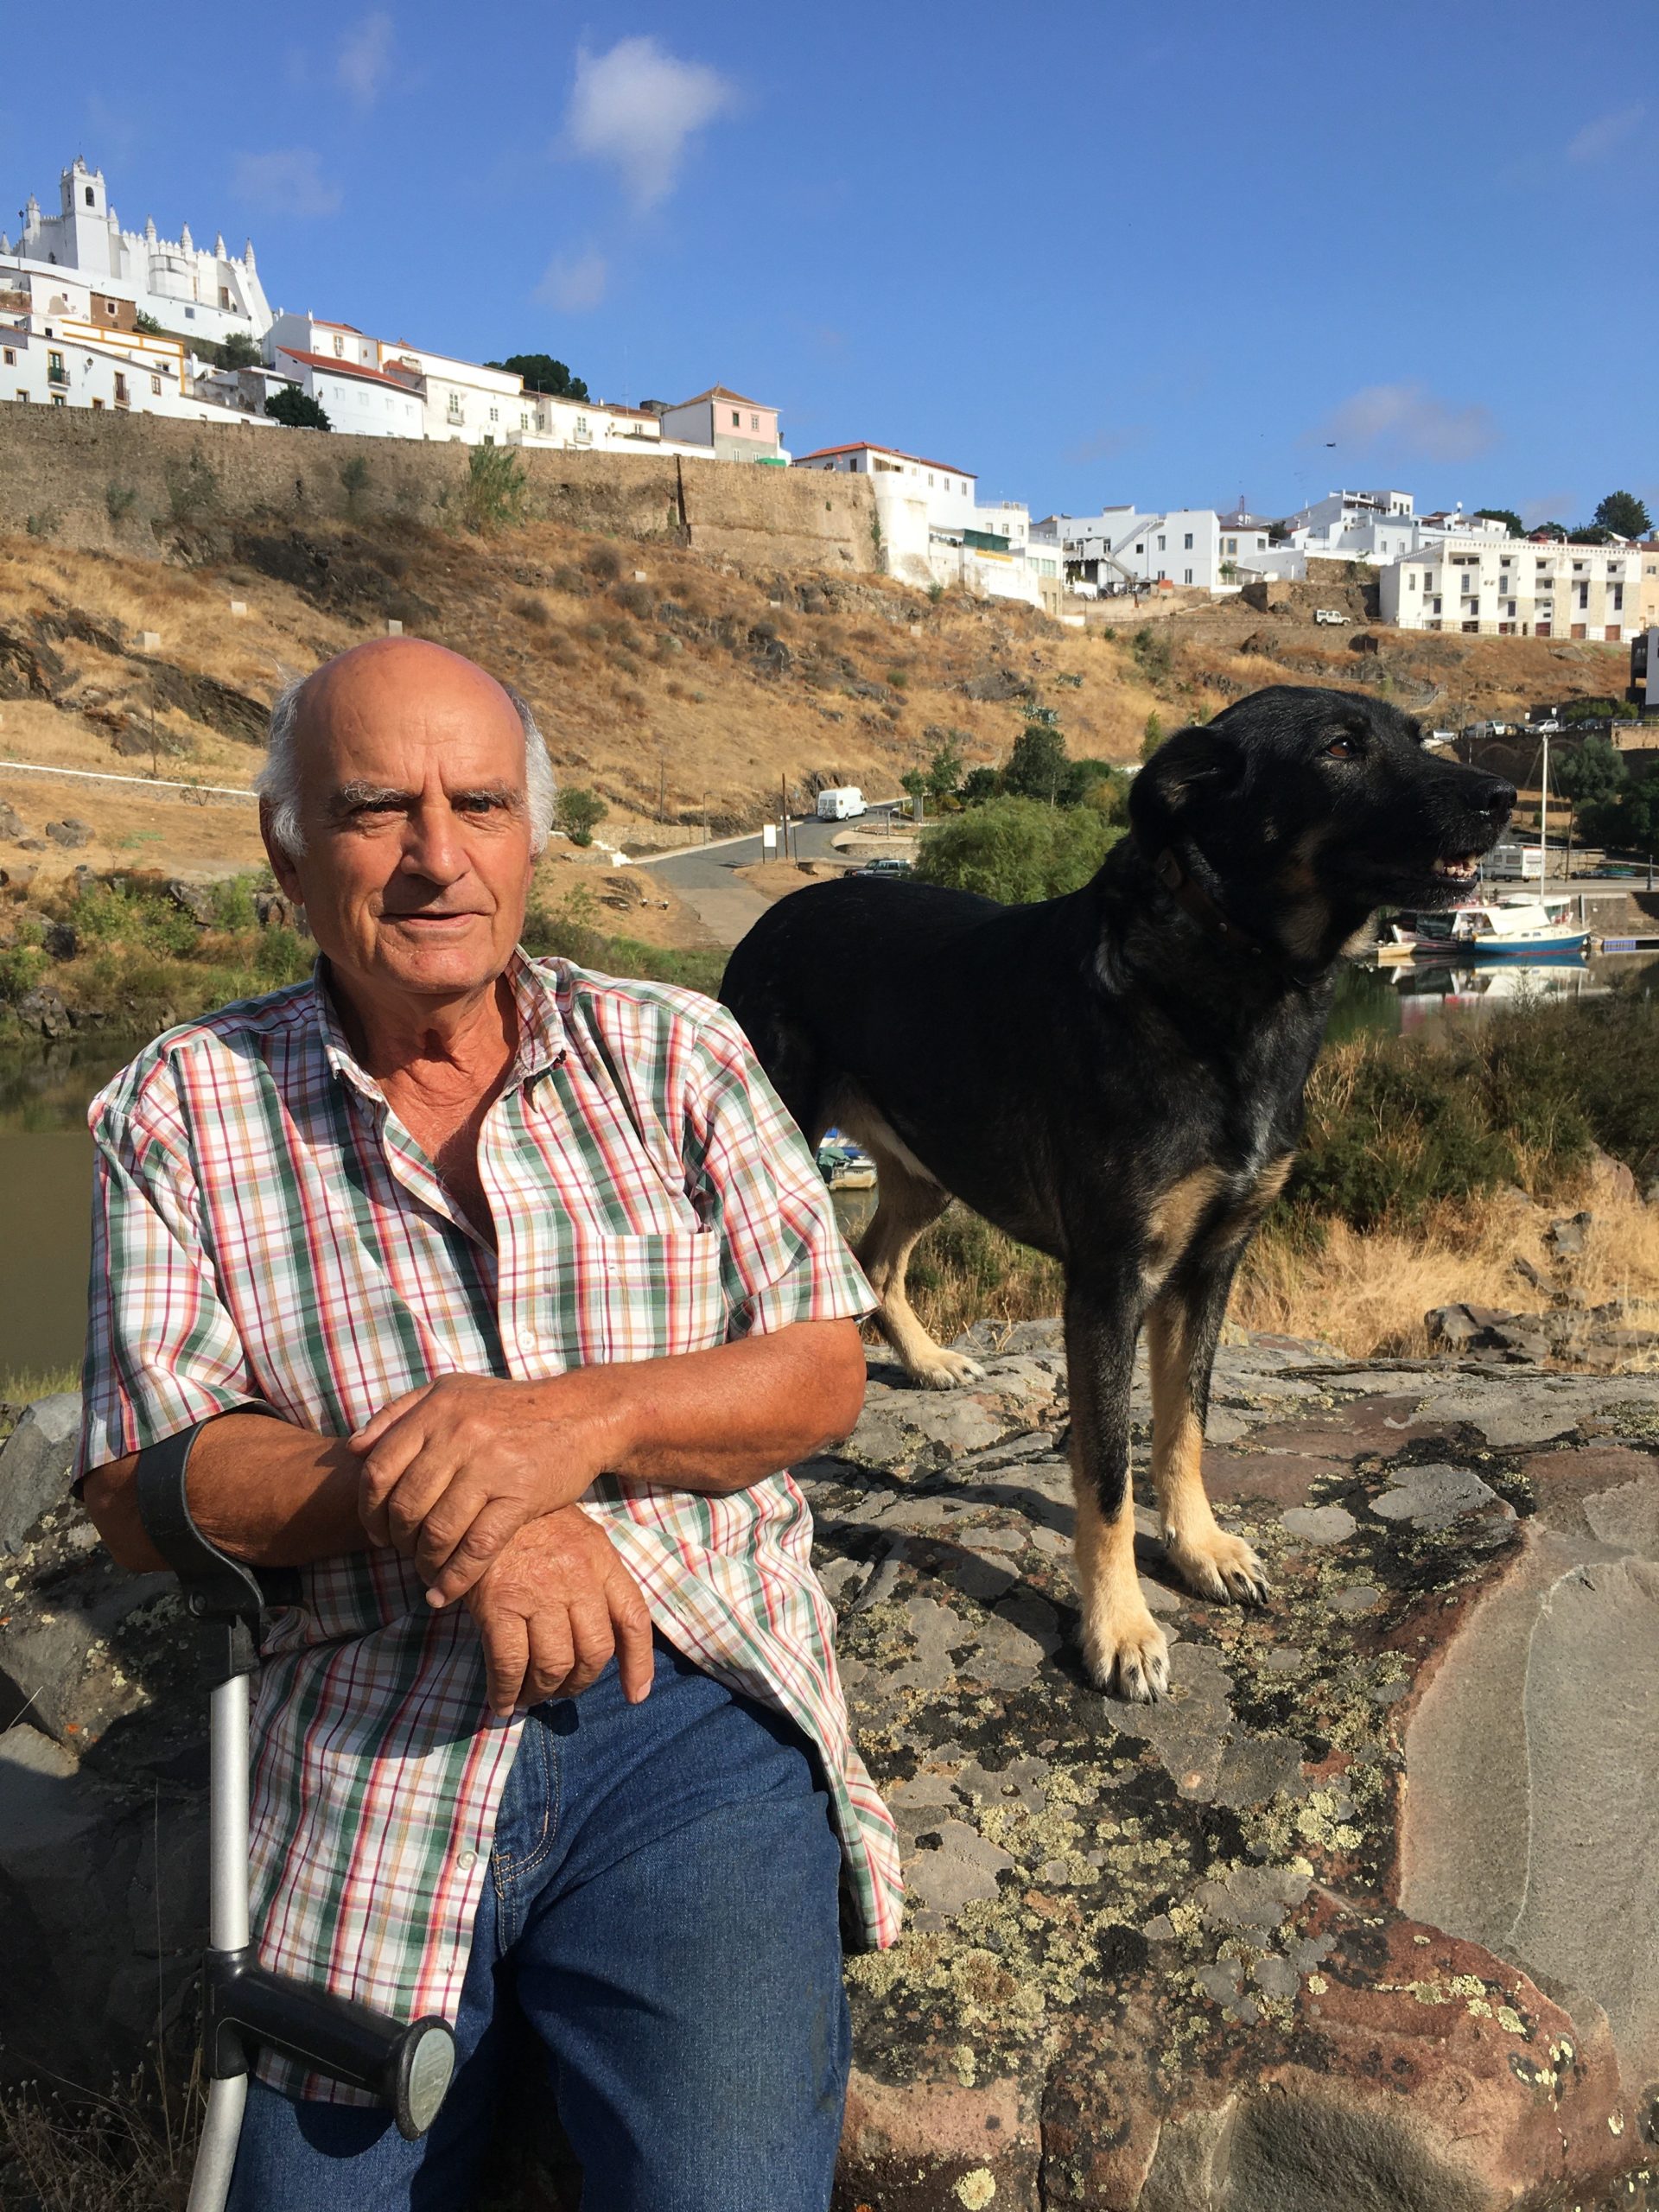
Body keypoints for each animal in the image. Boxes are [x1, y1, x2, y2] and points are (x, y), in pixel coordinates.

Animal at [725, 681, 1522, 1699]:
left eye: (1418, 737)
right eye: (1342, 748)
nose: (1501, 797)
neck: (1228, 976)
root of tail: (768, 922)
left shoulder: (1209, 1267)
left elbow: (1185, 1428)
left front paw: (1200, 1549)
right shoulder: (1108, 1285)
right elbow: (1106, 1469)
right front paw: (1120, 1626)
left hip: (929, 1169)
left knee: (877, 1258)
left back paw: (928, 1360)